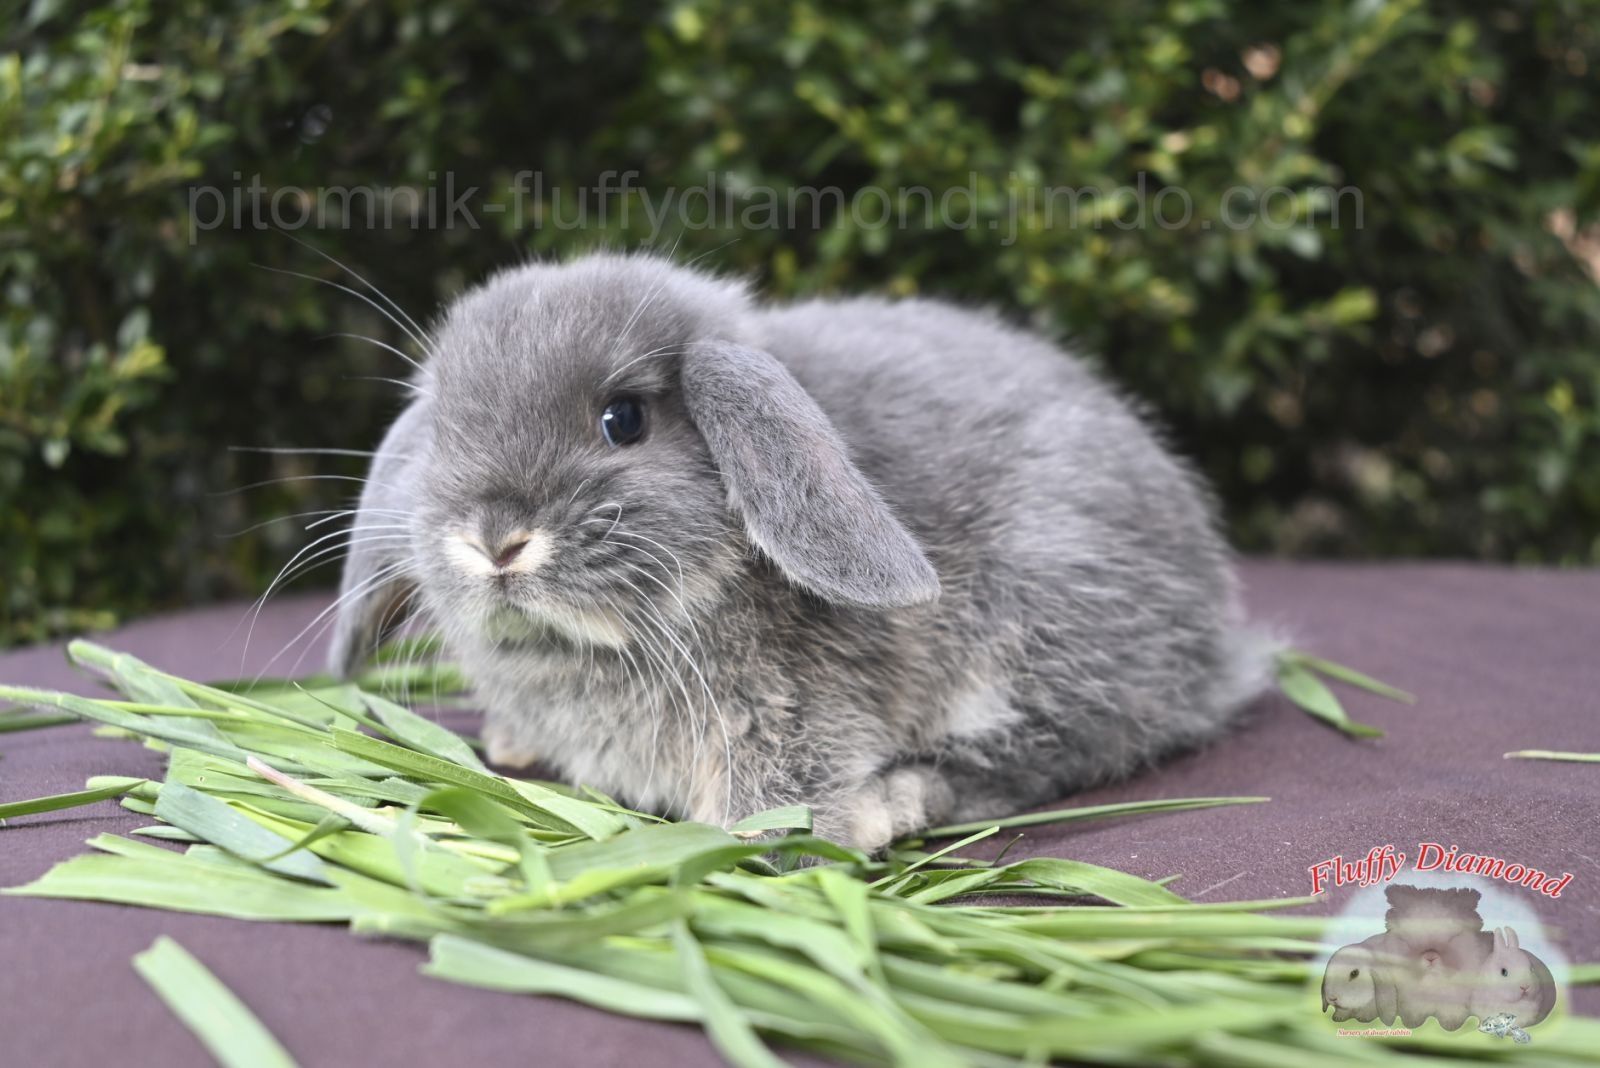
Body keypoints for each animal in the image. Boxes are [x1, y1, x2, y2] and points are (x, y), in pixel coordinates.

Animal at [328, 252, 1273, 850]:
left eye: (623, 419)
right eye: (445, 430)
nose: (494, 540)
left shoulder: (792, 715)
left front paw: (787, 836)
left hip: (1049, 622)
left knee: (1062, 748)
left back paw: (894, 804)